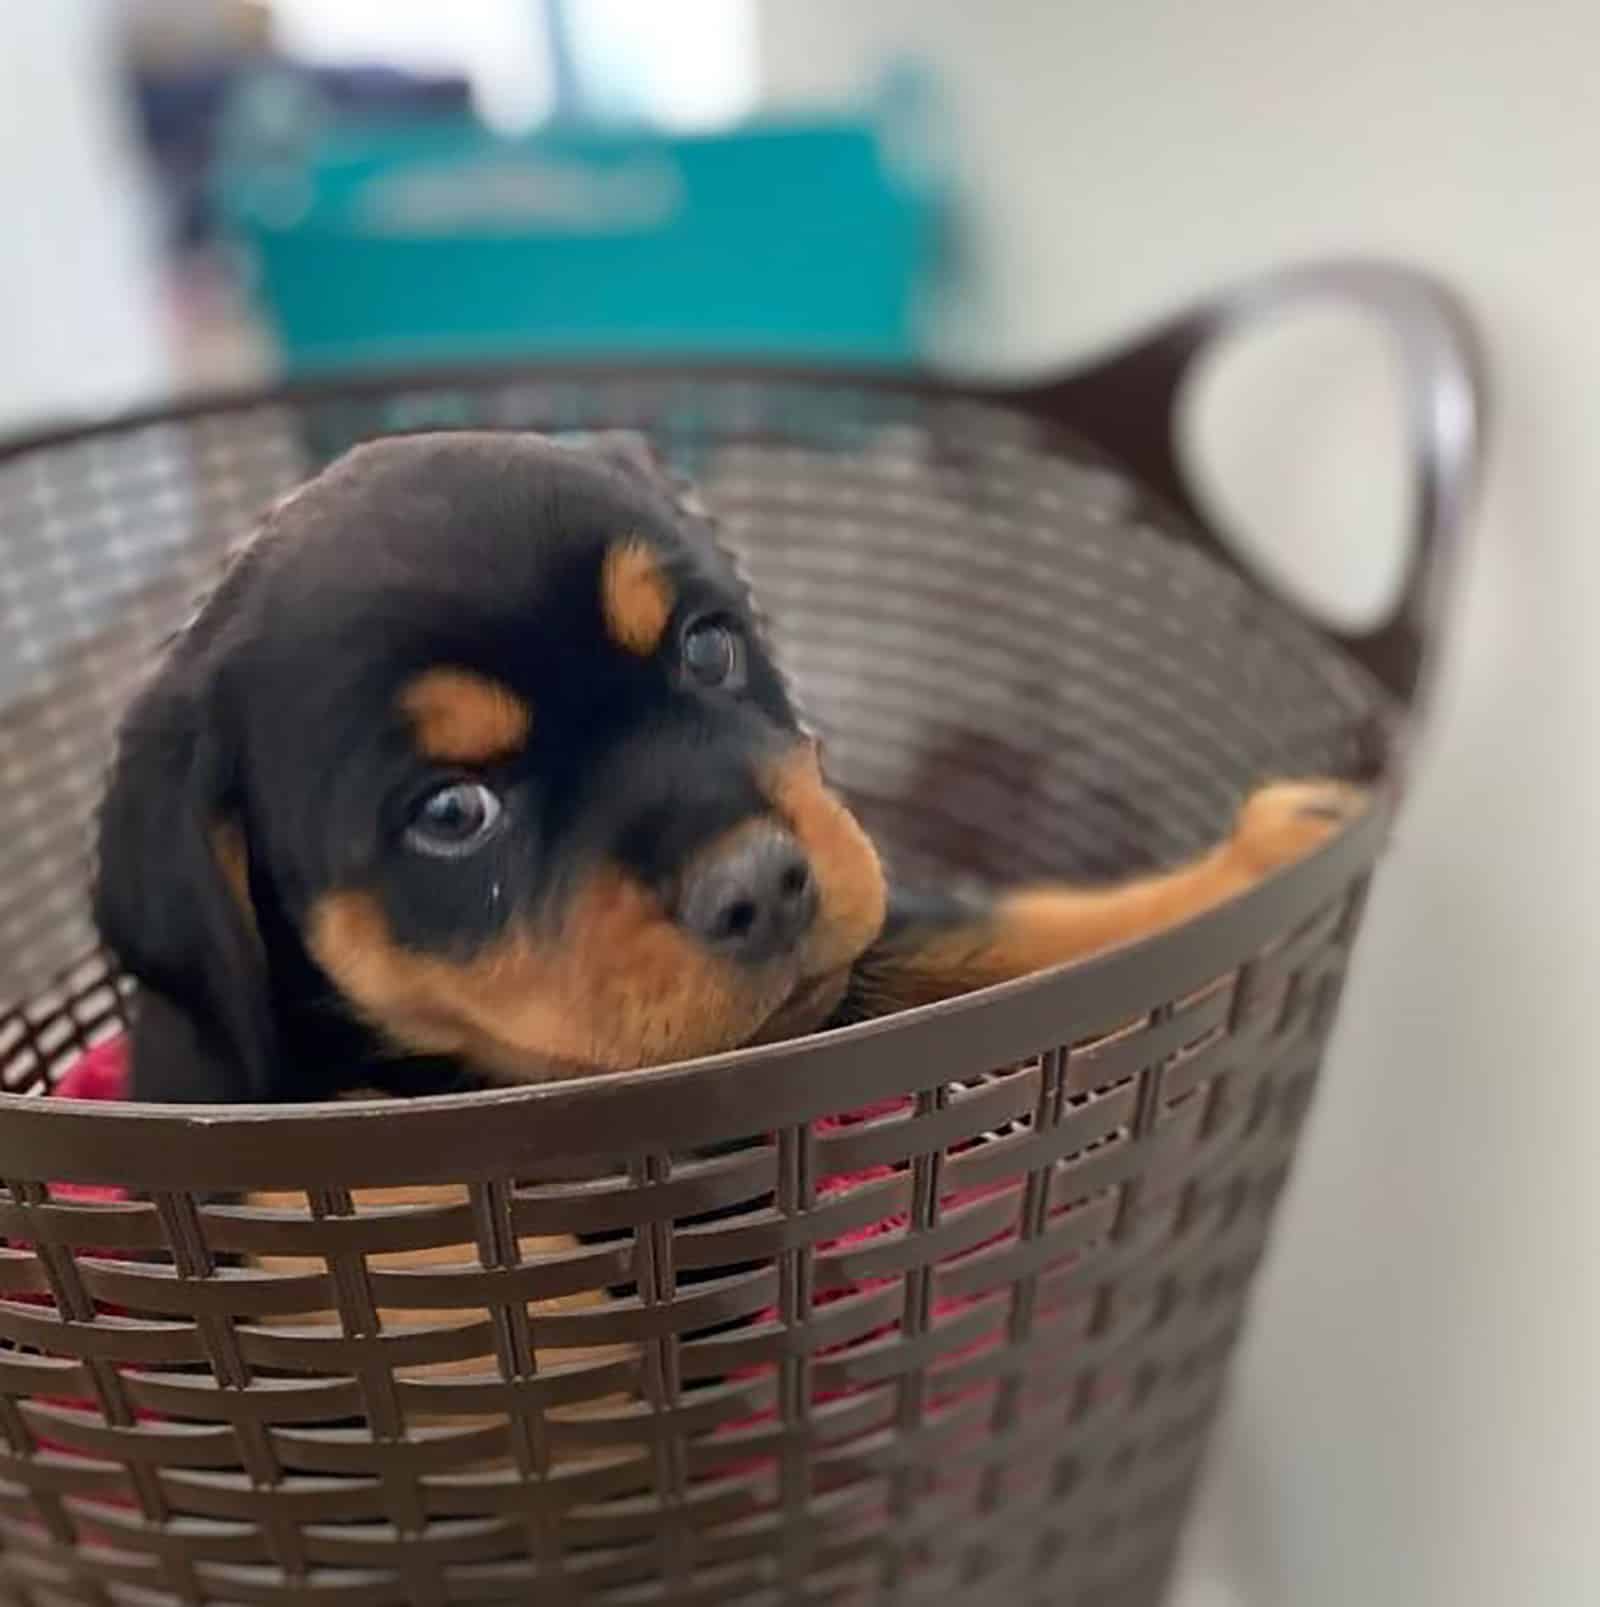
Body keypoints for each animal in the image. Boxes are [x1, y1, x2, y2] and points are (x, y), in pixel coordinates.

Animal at [90, 427, 1362, 1105]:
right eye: (450, 812)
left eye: (707, 647)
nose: (764, 888)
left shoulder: (867, 956)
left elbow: (1031, 928)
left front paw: (1264, 856)